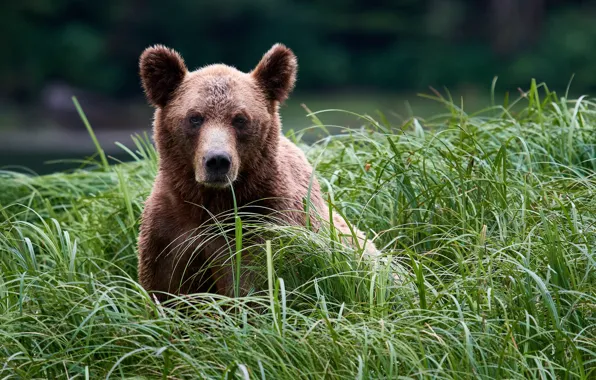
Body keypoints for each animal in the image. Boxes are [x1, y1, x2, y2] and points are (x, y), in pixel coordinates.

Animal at [137, 43, 374, 300]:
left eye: (240, 119)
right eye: (195, 117)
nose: (217, 161)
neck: (214, 201)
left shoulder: (266, 225)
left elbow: (252, 285)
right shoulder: (169, 232)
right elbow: (166, 289)